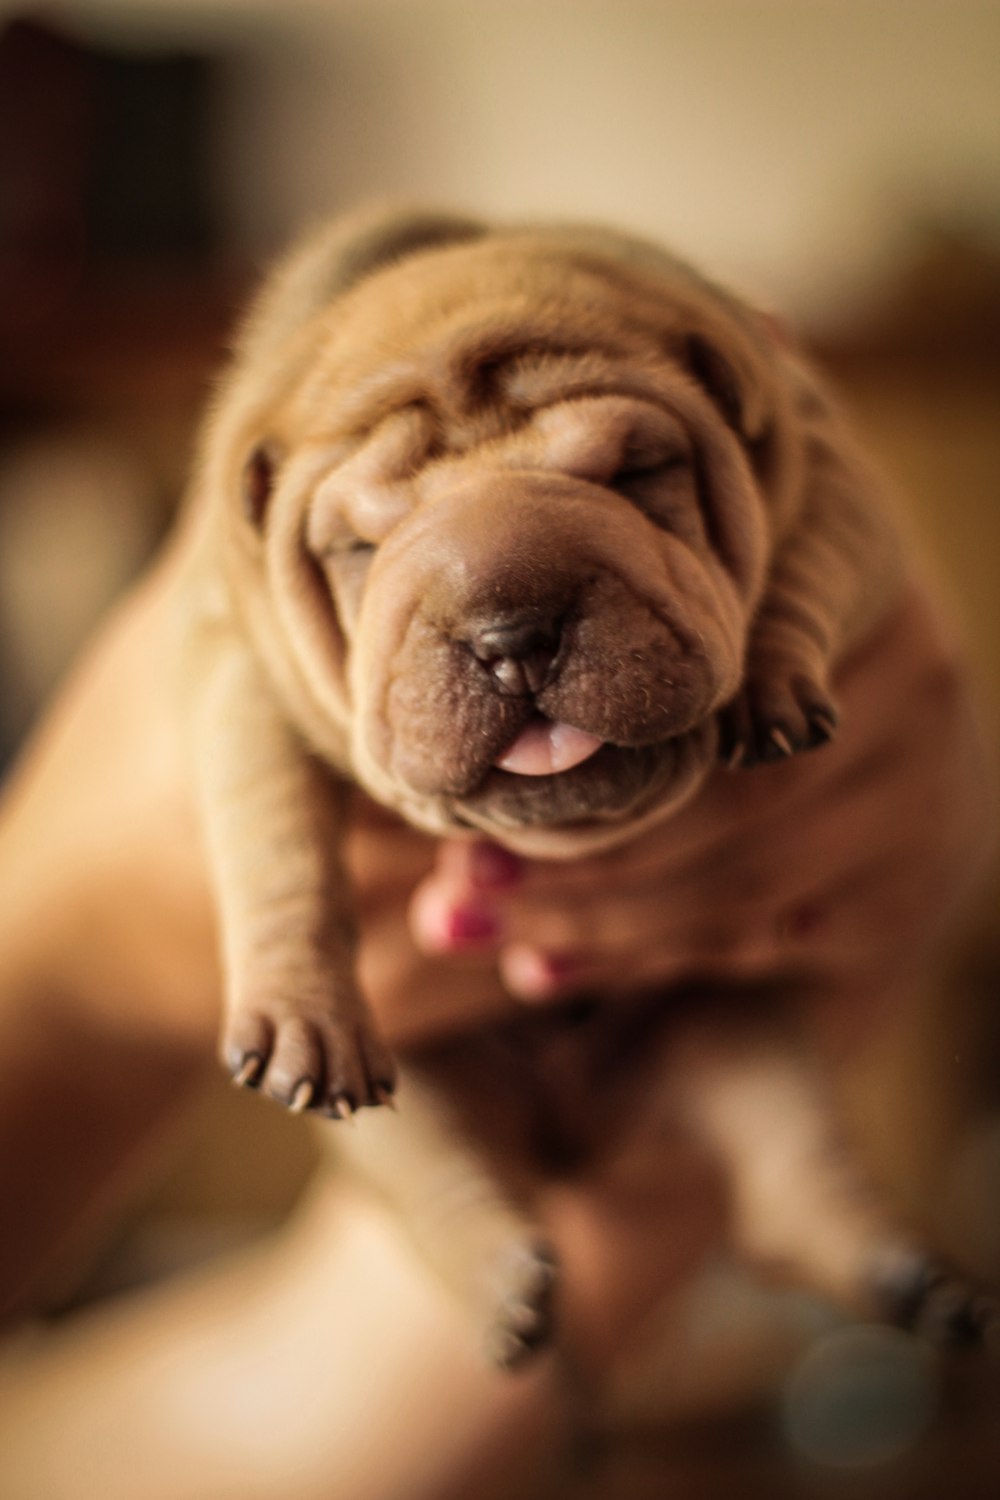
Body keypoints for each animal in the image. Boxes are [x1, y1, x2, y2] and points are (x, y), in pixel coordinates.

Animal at [17, 205, 995, 1368]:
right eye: (359, 545)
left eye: (637, 474)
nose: (511, 633)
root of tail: (574, 1129)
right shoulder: (229, 652)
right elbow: (272, 830)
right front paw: (297, 998)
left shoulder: (832, 470)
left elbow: (812, 564)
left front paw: (773, 675)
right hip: (418, 1108)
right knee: (440, 1174)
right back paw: (504, 1285)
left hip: (740, 1037)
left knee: (784, 1171)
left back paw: (895, 1272)